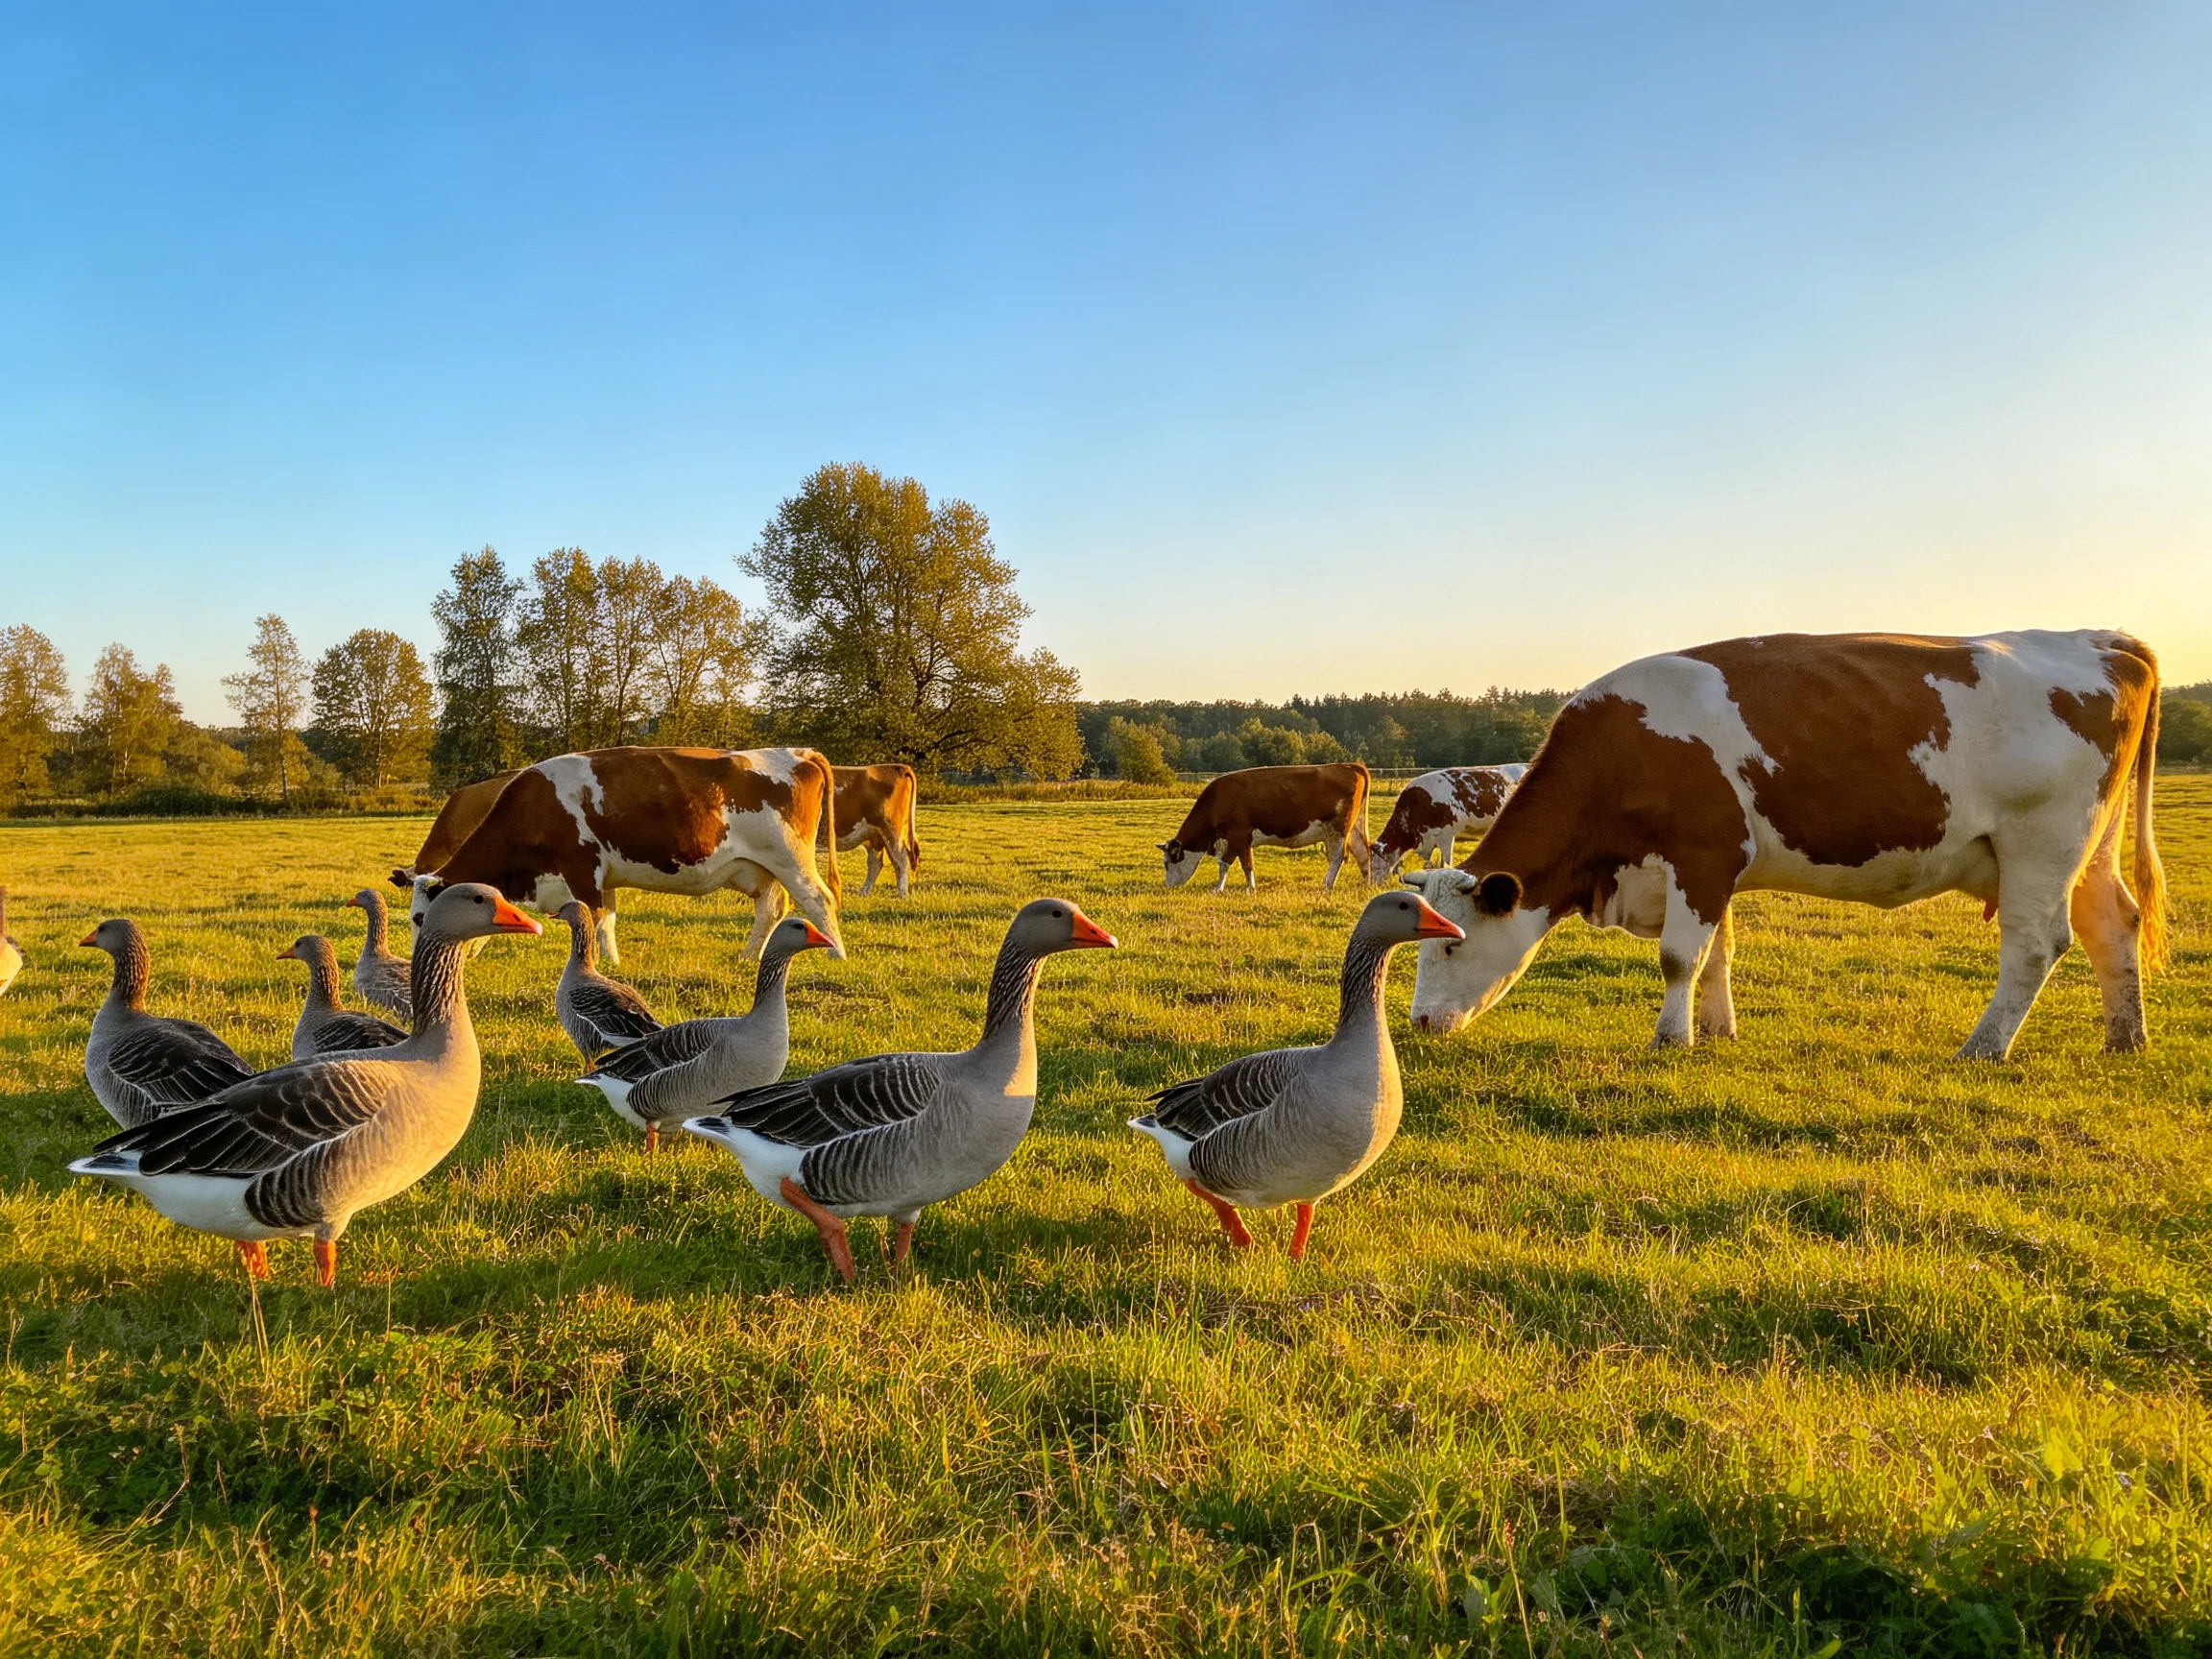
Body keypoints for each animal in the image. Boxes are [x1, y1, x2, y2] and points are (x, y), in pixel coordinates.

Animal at [412, 746, 844, 965]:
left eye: (419, 917)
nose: (418, 961)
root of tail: (798, 752)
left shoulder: (582, 868)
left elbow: (593, 919)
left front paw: (597, 967)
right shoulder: (603, 877)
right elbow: (608, 921)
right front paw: (613, 964)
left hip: (789, 857)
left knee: (819, 899)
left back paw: (834, 953)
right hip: (757, 867)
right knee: (772, 906)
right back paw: (748, 958)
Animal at [834, 764, 924, 898]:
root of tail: (897, 767)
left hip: (891, 829)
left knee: (900, 859)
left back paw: (902, 894)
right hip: (875, 835)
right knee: (875, 862)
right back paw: (864, 891)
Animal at [1160, 763, 1372, 892]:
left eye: (1167, 862)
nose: (1167, 885)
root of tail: (1349, 765)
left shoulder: (1238, 835)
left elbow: (1236, 864)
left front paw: (1232, 888)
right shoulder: (1237, 840)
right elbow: (1234, 863)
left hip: (1337, 829)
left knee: (1337, 857)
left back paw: (1326, 884)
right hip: (1352, 829)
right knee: (1363, 852)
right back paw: (1367, 883)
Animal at [1402, 631, 2164, 1061]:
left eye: (1451, 948)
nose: (1419, 1023)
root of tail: (2101, 638)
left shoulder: (1702, 855)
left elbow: (1680, 958)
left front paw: (1670, 1040)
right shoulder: (1712, 872)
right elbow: (1717, 955)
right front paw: (1716, 1033)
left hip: (2041, 842)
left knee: (2034, 947)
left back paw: (1982, 1048)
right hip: (2087, 849)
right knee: (2112, 924)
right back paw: (2124, 1037)